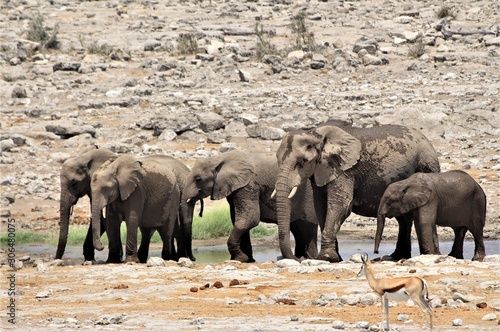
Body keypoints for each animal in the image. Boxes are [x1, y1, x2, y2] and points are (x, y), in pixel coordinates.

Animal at [183, 150, 316, 262]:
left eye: (198, 179)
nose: (194, 259)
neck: (219, 159)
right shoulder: (234, 188)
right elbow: (238, 219)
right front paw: (247, 259)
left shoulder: (248, 185)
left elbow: (249, 219)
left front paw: (240, 258)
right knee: (299, 229)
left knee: (307, 227)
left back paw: (308, 258)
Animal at [276, 124, 440, 262]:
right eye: (277, 159)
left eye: (302, 162)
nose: (299, 258)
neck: (317, 134)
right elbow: (321, 208)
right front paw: (336, 258)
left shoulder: (344, 171)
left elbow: (341, 205)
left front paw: (327, 258)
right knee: (404, 218)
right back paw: (398, 256)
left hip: (427, 166)